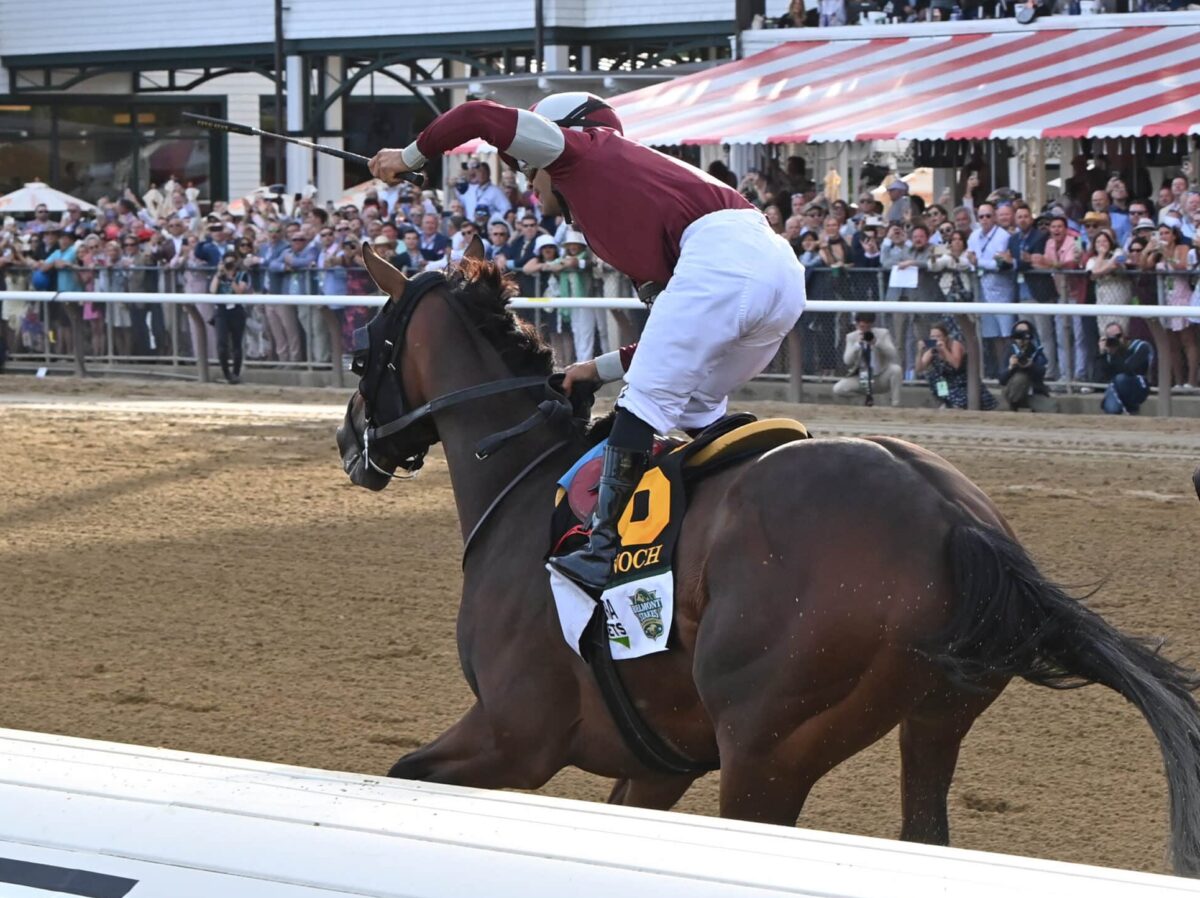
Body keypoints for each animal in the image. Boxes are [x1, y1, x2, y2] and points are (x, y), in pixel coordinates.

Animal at [333, 243, 1200, 878]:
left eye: (362, 349)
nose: (348, 441)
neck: (525, 481)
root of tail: (956, 520)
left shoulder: (518, 733)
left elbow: (404, 773)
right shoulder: (656, 763)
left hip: (768, 752)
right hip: (935, 717)